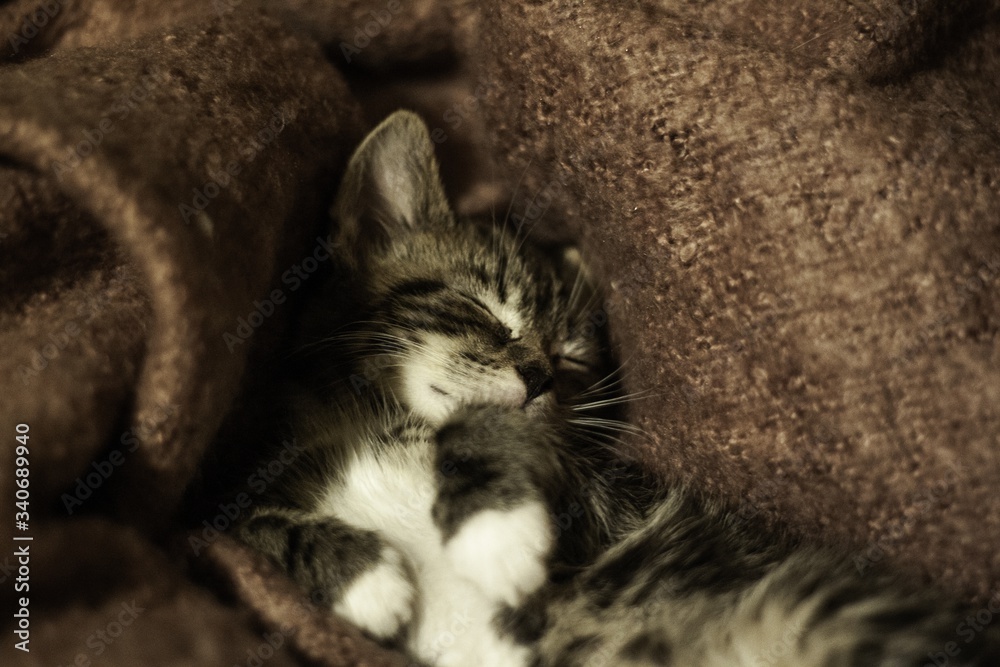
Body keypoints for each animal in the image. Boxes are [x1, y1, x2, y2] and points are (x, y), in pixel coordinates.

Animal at [236, 111, 1000, 667]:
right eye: (483, 308)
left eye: (572, 357)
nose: (538, 376)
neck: (372, 416)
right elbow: (254, 530)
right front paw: (364, 575)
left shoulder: (600, 507)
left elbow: (487, 424)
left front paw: (492, 533)